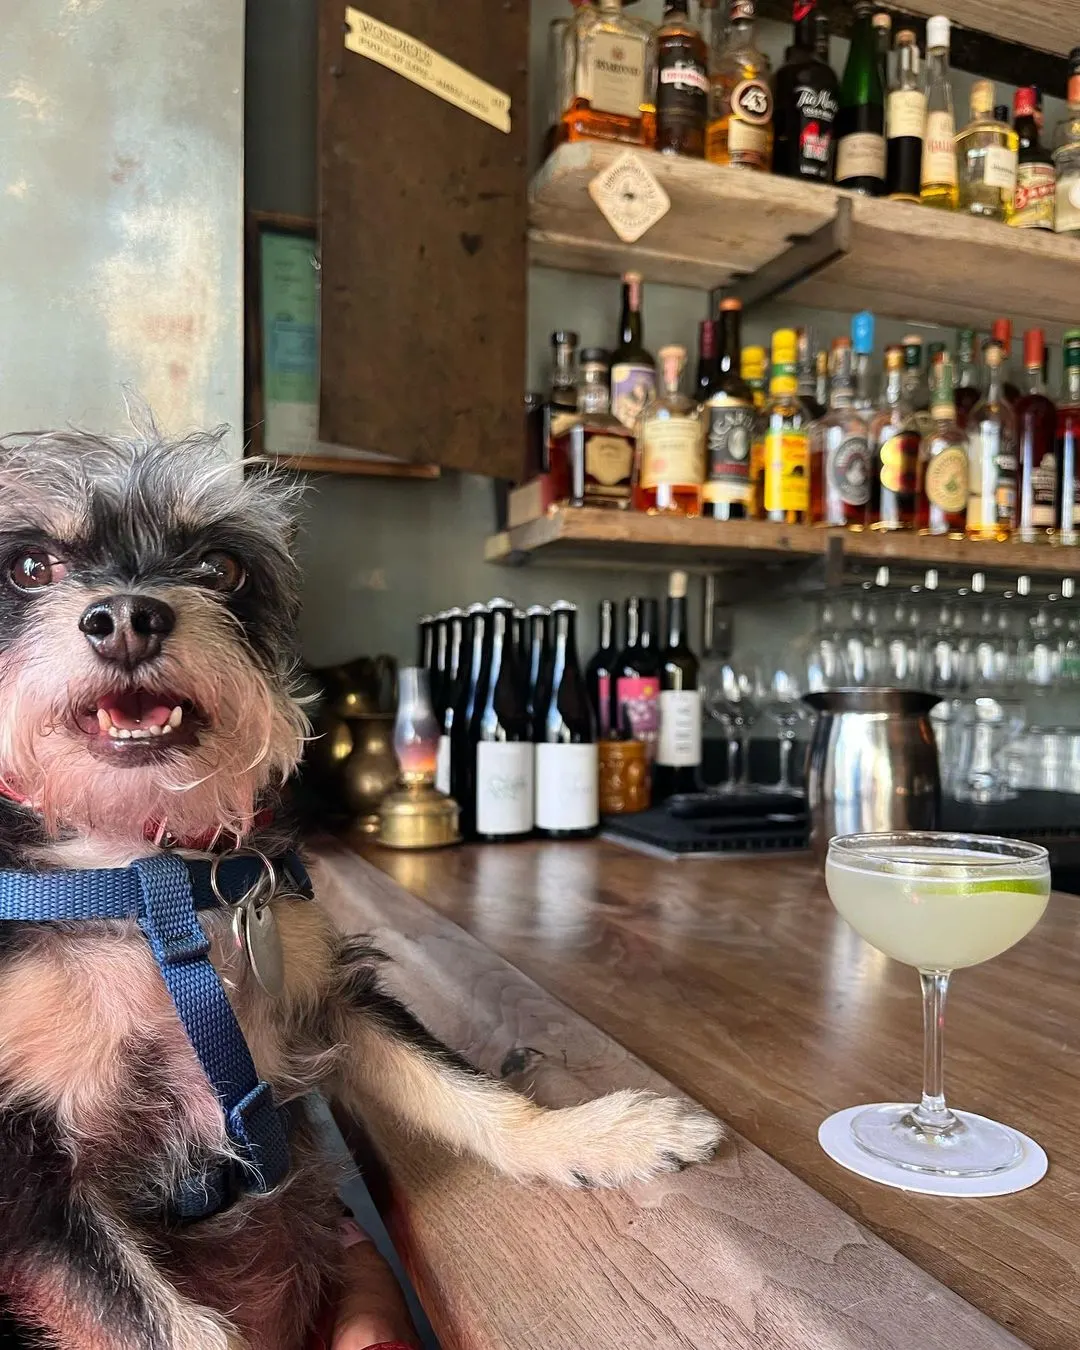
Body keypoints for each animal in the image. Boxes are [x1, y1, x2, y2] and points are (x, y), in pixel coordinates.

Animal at [0, 426, 723, 1350]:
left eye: (223, 568)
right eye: (29, 566)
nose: (128, 618)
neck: (142, 874)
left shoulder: (330, 999)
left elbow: (469, 1091)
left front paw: (596, 1135)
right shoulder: (25, 1177)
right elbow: (163, 1324)